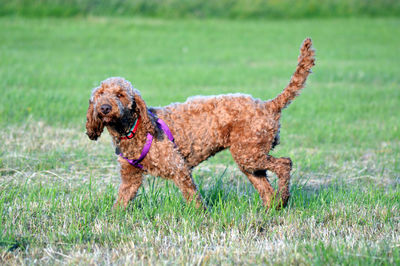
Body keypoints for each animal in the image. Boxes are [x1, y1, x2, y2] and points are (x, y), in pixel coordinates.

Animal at [86, 38, 314, 210]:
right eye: (100, 94)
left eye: (120, 95)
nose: (104, 108)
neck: (132, 129)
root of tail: (268, 105)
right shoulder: (130, 179)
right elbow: (121, 202)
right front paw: (113, 219)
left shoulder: (178, 168)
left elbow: (192, 197)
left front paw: (200, 216)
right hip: (249, 158)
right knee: (266, 188)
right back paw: (271, 209)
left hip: (249, 153)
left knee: (285, 163)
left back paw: (283, 198)